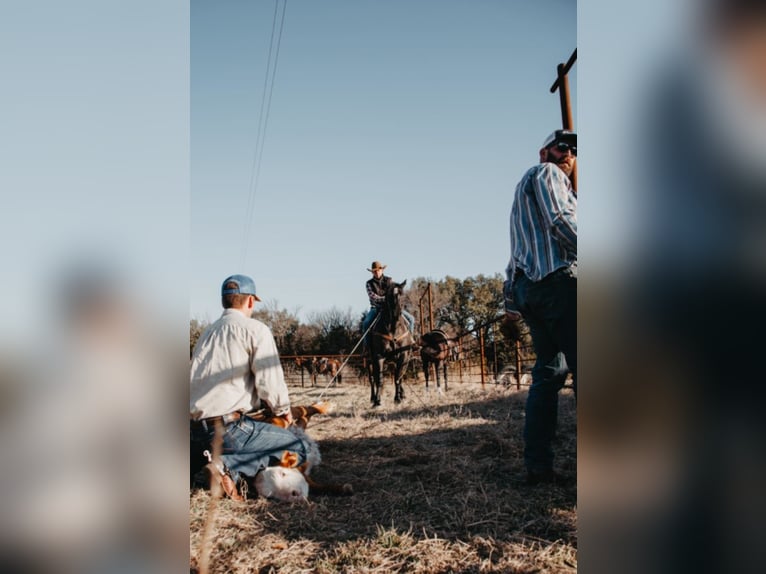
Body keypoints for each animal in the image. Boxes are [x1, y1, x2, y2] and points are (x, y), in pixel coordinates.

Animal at [370, 280, 416, 408]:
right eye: (388, 296)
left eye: (402, 295)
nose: (396, 314)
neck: (393, 329)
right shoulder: (379, 357)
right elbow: (380, 379)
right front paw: (377, 401)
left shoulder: (403, 356)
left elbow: (398, 377)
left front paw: (398, 398)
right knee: (373, 378)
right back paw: (373, 398)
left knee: (399, 375)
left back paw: (402, 394)